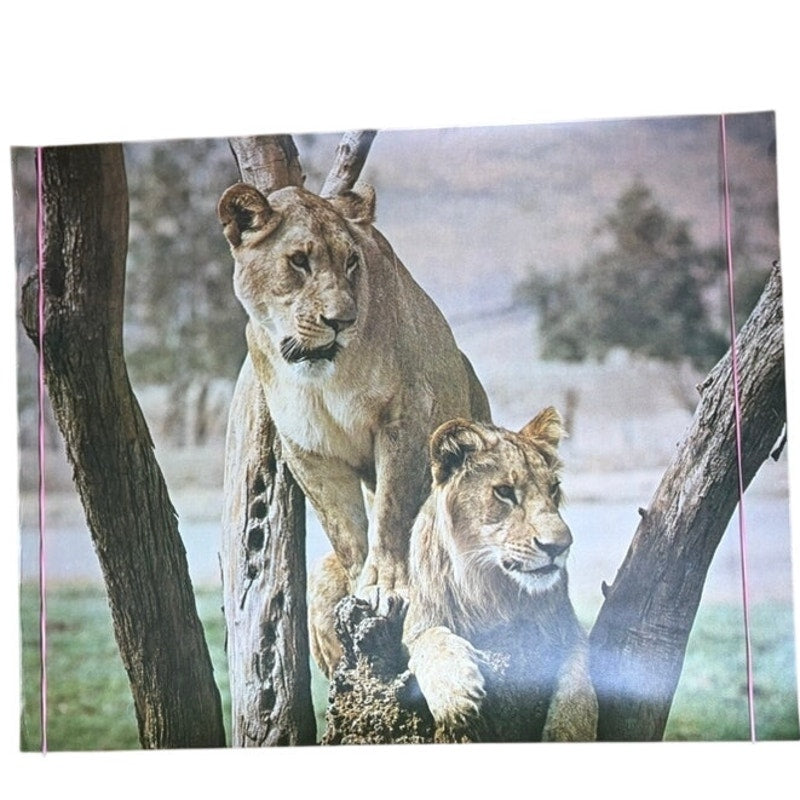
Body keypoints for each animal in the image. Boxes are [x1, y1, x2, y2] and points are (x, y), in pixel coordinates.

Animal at [218, 181, 490, 677]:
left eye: (351, 262)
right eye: (299, 261)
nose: (340, 321)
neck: (319, 373)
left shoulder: (405, 417)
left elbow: (391, 510)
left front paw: (384, 583)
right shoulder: (307, 449)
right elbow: (344, 529)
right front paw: (360, 585)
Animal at [403, 408, 598, 742]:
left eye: (553, 488)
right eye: (505, 492)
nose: (559, 546)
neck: (493, 588)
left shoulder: (570, 633)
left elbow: (580, 688)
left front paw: (567, 734)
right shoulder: (417, 625)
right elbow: (431, 640)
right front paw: (455, 695)